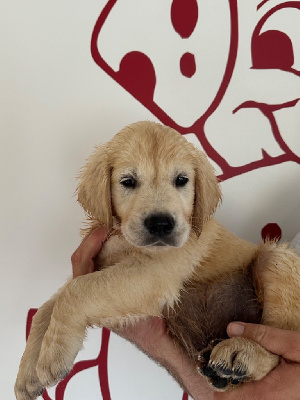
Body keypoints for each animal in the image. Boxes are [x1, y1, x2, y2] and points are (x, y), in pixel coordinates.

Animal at [14, 120, 300, 398]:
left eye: (182, 180)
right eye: (128, 181)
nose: (161, 224)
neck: (122, 237)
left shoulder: (156, 271)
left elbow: (76, 290)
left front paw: (53, 356)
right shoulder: (97, 264)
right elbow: (47, 308)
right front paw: (28, 374)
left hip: (275, 259)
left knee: (277, 349)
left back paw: (242, 352)